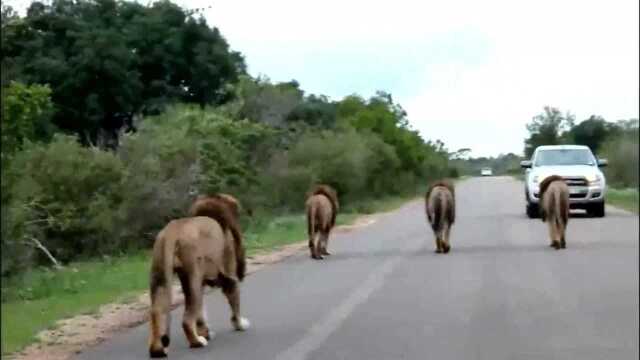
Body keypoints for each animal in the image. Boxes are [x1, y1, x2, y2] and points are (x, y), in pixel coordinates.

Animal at [148, 194, 250, 358]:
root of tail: (173, 231)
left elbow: (201, 313)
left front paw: (206, 332)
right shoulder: (229, 275)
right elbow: (235, 304)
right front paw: (240, 325)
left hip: (159, 275)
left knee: (156, 312)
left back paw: (157, 350)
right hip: (192, 276)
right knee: (187, 319)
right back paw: (197, 342)